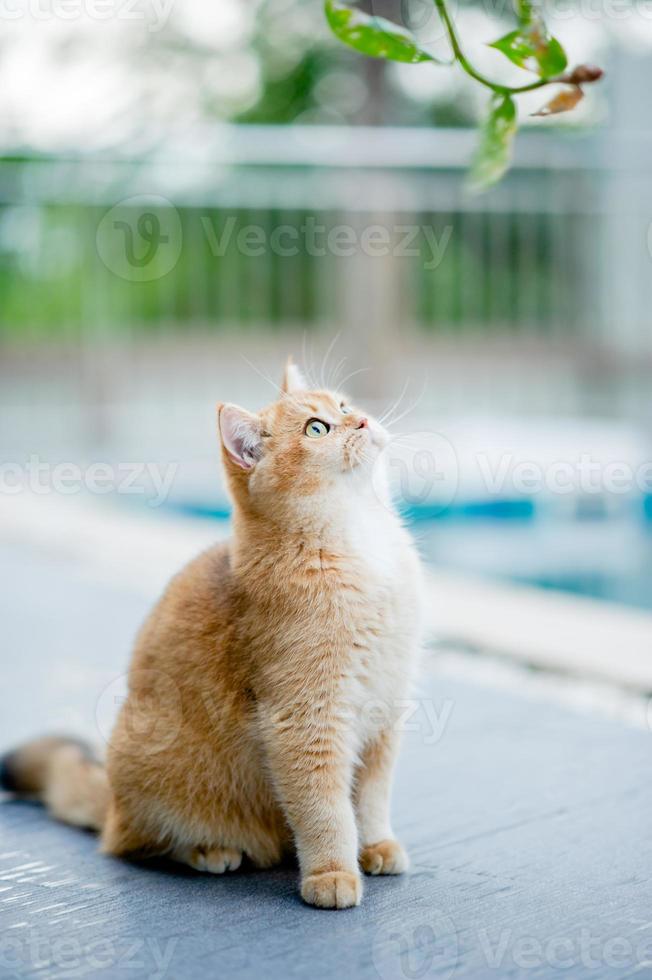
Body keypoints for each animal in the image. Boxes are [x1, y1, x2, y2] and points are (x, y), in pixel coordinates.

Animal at [1, 360, 422, 912]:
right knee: (134, 846)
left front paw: (375, 845)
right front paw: (332, 873)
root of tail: (112, 803)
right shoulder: (307, 721)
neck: (361, 544)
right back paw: (210, 850)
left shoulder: (384, 715)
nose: (364, 421)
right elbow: (325, 810)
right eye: (316, 429)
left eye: (344, 406)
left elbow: (370, 799)